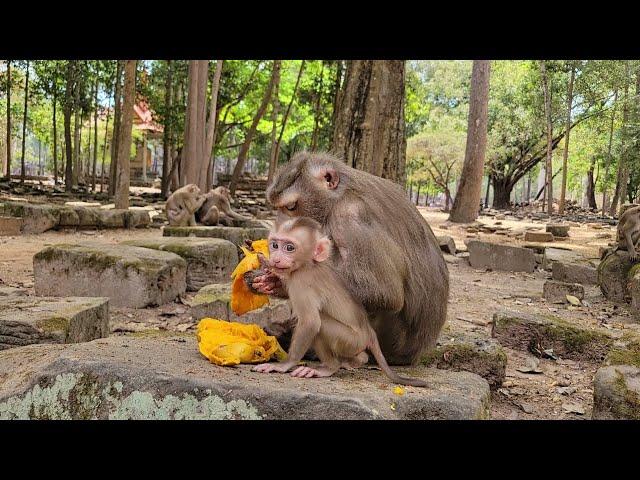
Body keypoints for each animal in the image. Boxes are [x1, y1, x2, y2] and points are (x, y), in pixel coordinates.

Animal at [250, 152, 450, 366]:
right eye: (278, 207)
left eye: (291, 206)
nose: (282, 227)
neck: (339, 196)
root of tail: (414, 354)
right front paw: (267, 281)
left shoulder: (349, 217)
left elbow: (385, 292)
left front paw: (280, 280)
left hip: (389, 340)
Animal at [252, 216, 428, 388]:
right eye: (274, 245)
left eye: (289, 248)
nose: (276, 259)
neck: (309, 264)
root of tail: (369, 331)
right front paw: (271, 282)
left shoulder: (302, 282)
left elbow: (310, 322)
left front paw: (285, 364)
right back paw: (358, 359)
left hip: (351, 340)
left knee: (321, 324)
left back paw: (330, 367)